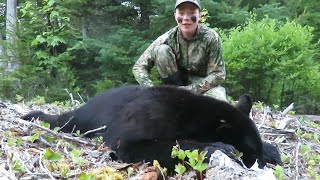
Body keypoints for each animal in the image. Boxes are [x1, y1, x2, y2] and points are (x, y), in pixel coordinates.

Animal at [21, 85, 280, 169]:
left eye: (257, 151)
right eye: (250, 153)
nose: (260, 163)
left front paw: (272, 150)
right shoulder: (144, 121)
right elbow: (146, 146)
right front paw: (219, 148)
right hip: (83, 118)